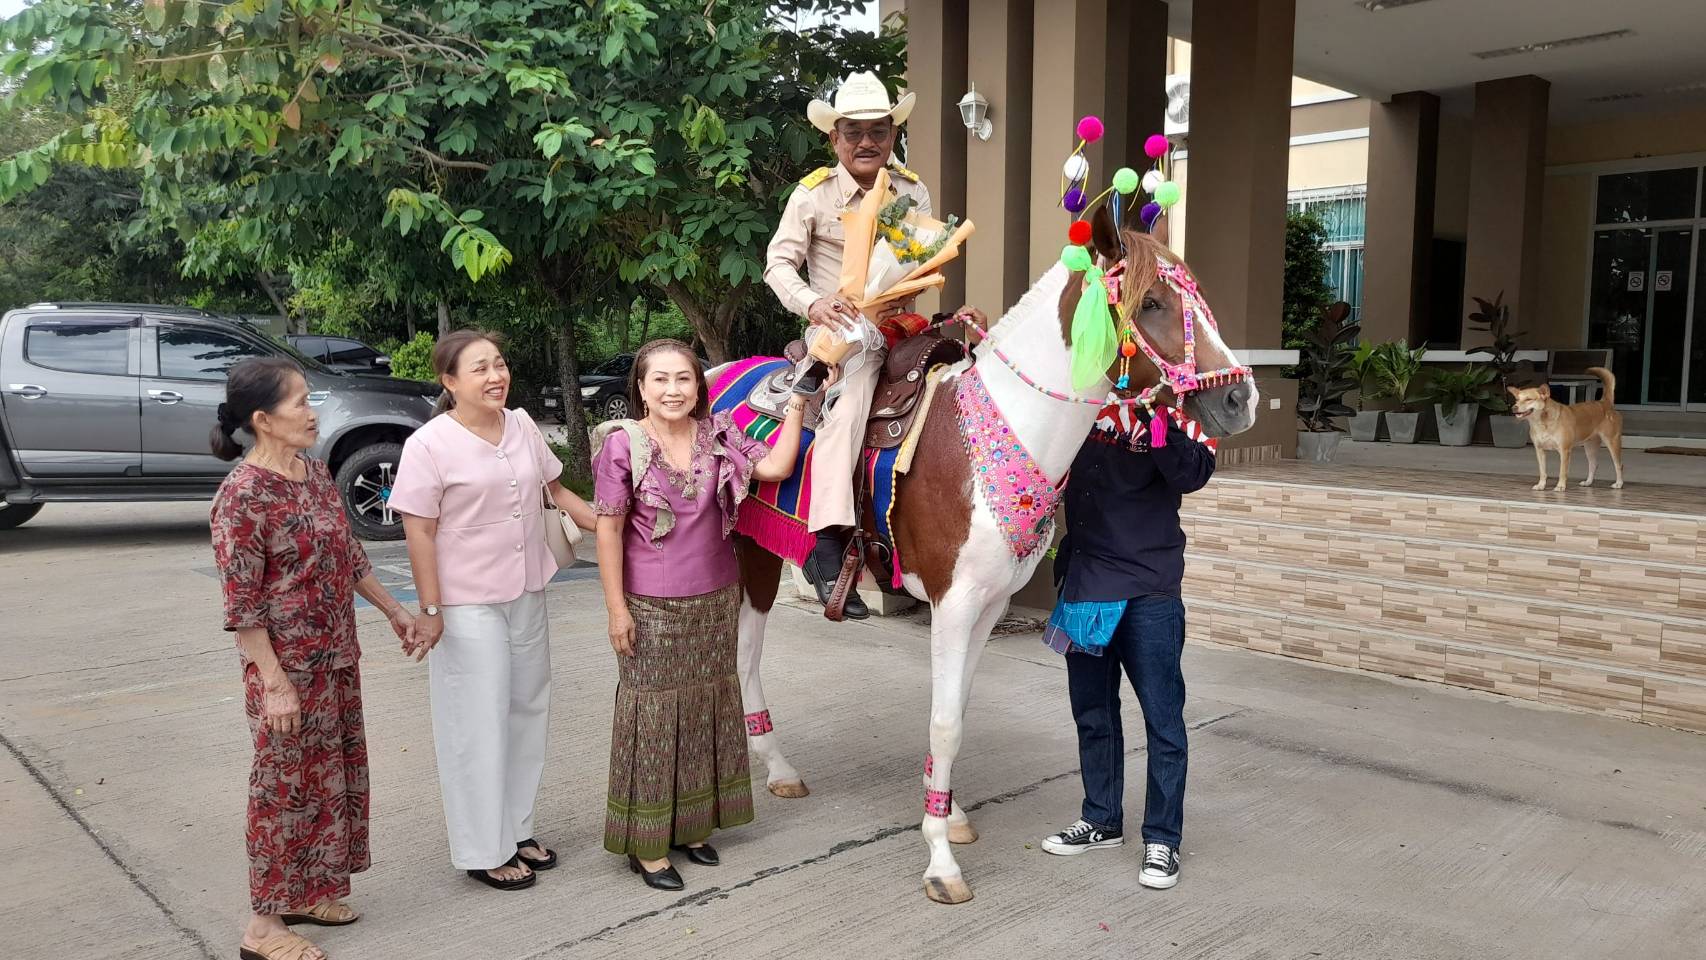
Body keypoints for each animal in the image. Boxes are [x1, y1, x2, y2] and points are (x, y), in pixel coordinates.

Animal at [719, 204, 1260, 904]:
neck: (994, 434)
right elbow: (944, 721)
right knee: (743, 653)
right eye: (1153, 303)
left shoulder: (990, 605)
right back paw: (772, 764)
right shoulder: (952, 602)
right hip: (750, 553)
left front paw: (949, 813)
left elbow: (958, 710)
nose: (1239, 399)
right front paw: (941, 860)